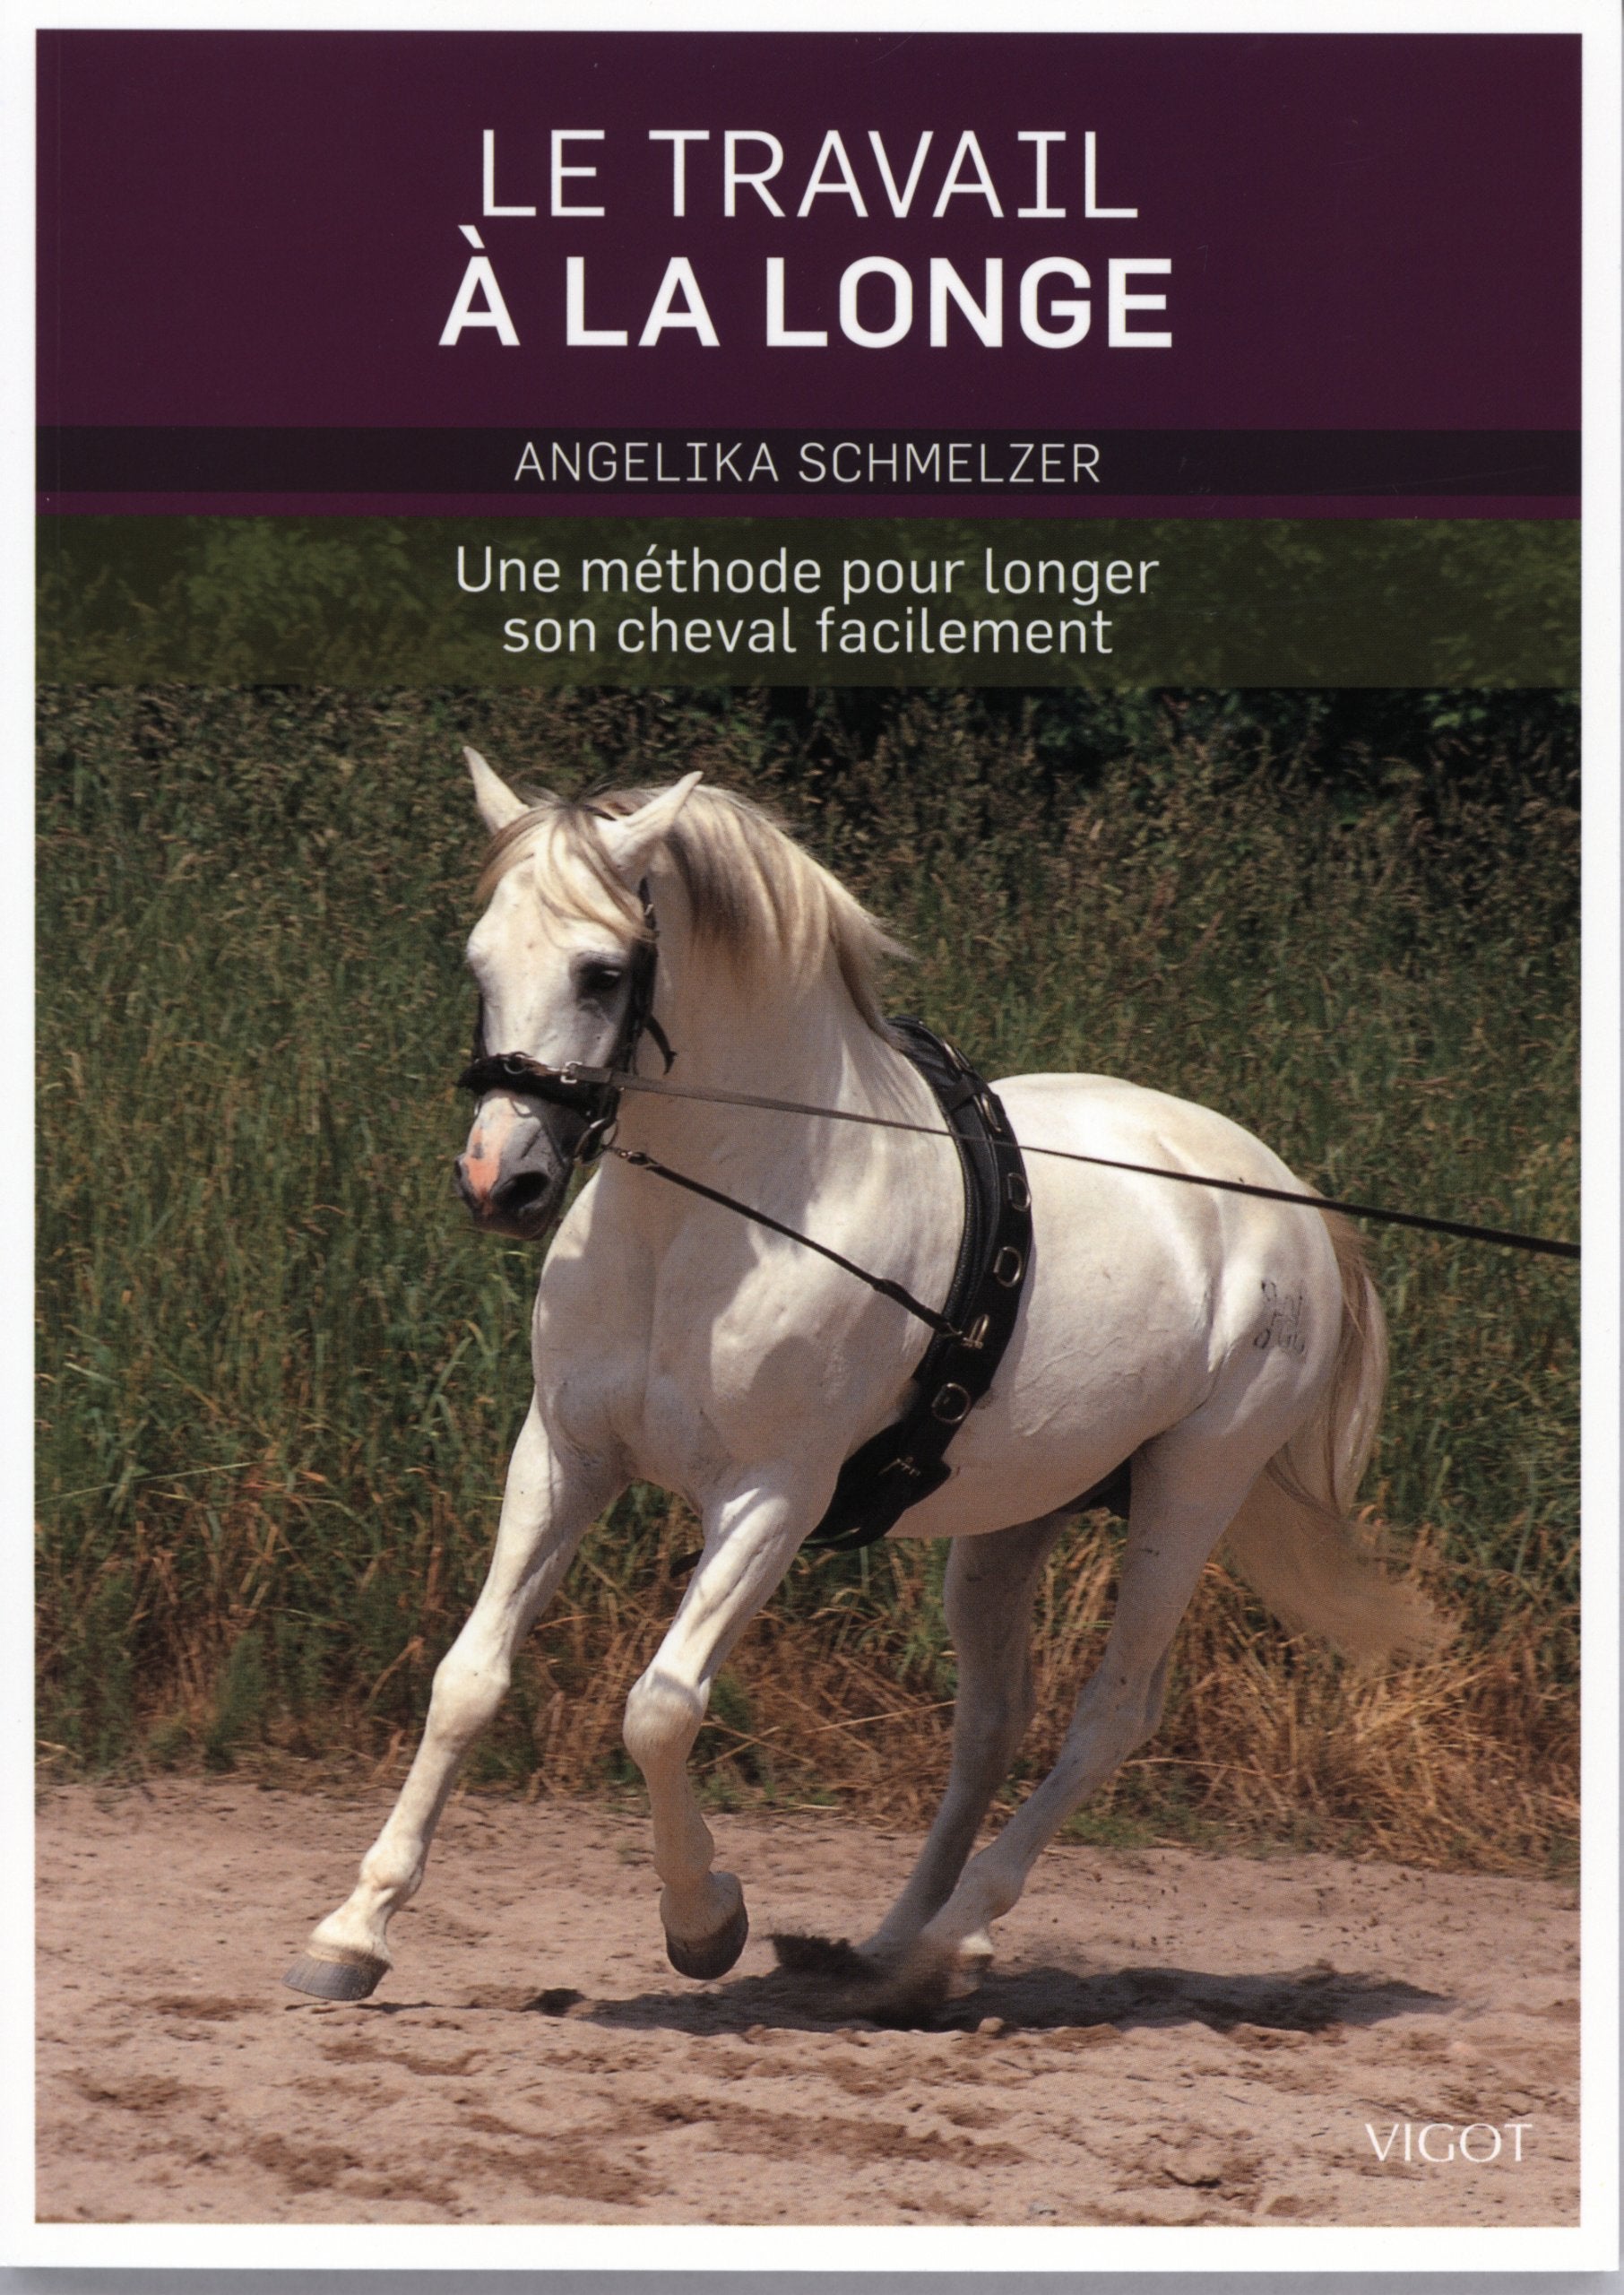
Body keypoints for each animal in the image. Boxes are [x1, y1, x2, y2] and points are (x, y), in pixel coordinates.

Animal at [285, 755, 1435, 2018]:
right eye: (480, 959)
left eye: (603, 971)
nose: (502, 1181)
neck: (710, 1223)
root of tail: (1295, 1203)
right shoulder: (563, 1457)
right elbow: (469, 1679)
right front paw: (352, 1934)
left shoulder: (771, 1496)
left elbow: (660, 1708)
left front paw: (705, 1922)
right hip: (1014, 1518)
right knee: (993, 1720)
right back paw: (895, 1949)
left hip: (1193, 1489)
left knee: (1110, 1713)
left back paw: (948, 1938)